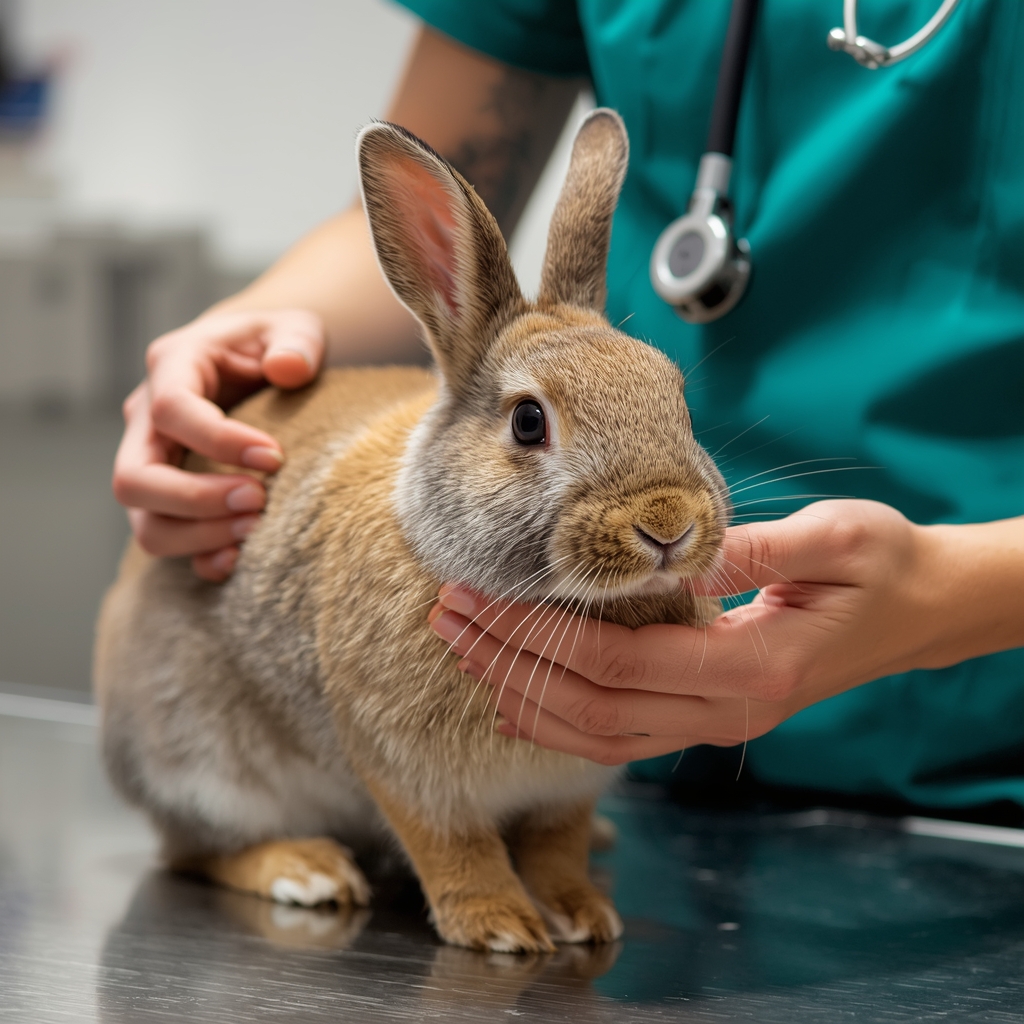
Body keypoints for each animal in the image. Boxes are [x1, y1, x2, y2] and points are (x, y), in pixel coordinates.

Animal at [93, 109, 730, 954]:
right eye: (530, 422)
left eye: (678, 398)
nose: (668, 523)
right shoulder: (408, 769)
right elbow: (452, 845)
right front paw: (499, 925)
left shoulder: (569, 788)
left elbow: (556, 845)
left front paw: (584, 914)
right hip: (198, 763)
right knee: (192, 849)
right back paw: (304, 870)